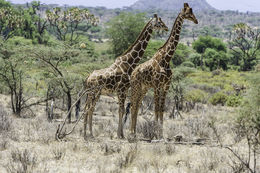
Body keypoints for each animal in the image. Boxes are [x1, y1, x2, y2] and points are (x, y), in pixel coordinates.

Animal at [129, 2, 198, 137]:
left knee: (137, 105)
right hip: (136, 86)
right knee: (133, 105)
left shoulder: (166, 85)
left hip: (144, 88)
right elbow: (156, 108)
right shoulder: (157, 85)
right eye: (188, 12)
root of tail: (133, 72)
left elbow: (162, 108)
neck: (166, 58)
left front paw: (161, 133)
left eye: (192, 11)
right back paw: (130, 132)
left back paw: (133, 132)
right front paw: (156, 133)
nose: (196, 20)